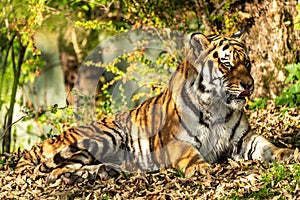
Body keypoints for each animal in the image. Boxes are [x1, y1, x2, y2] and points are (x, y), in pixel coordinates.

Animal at [15, 31, 296, 184]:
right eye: (227, 64)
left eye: (247, 63)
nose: (249, 85)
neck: (217, 106)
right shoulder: (173, 141)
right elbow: (189, 154)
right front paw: (201, 167)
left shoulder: (243, 139)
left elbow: (267, 146)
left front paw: (288, 153)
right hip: (104, 136)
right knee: (49, 171)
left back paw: (107, 171)